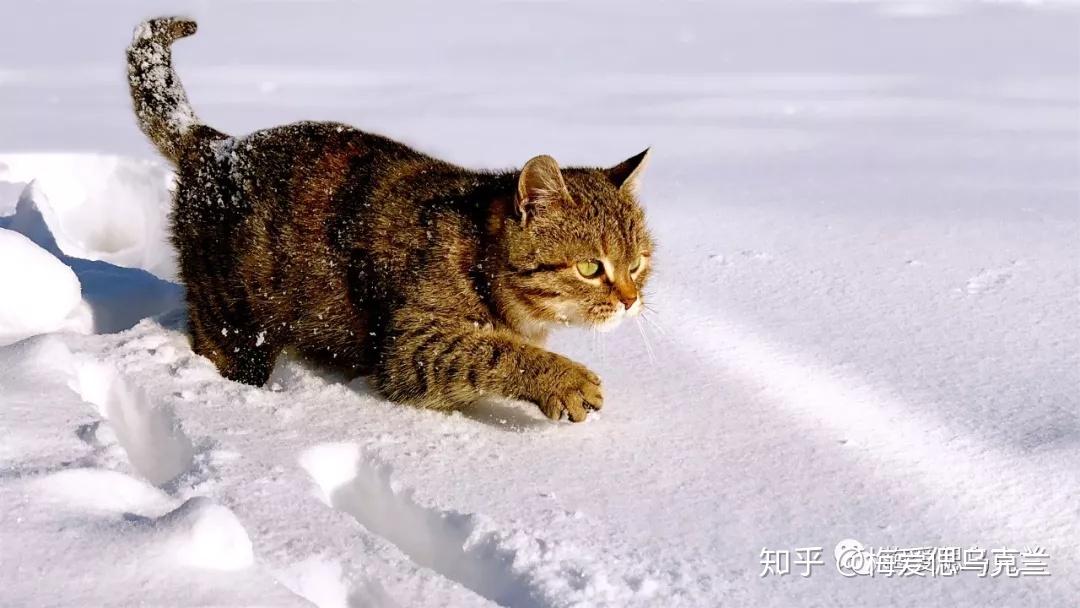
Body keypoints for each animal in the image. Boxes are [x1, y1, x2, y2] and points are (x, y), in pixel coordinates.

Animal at [126, 15, 648, 423]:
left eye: (638, 264)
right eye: (590, 268)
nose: (630, 300)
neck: (479, 255)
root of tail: (215, 144)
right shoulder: (411, 347)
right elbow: (491, 350)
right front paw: (563, 378)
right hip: (232, 325)